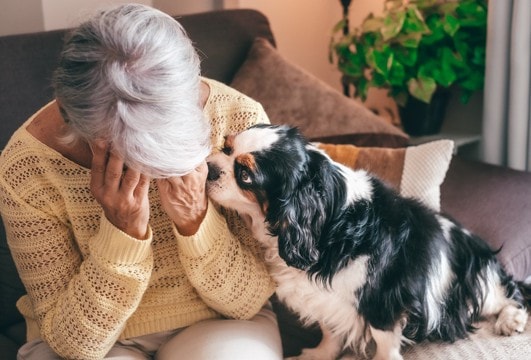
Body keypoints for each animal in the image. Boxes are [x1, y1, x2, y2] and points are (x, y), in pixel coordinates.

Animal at [206, 124, 528, 360]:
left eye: (245, 175)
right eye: (226, 147)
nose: (208, 167)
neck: (329, 222)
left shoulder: (382, 295)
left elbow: (383, 338)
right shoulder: (327, 298)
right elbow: (330, 331)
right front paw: (320, 355)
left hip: (477, 282)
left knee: (512, 294)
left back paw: (511, 320)